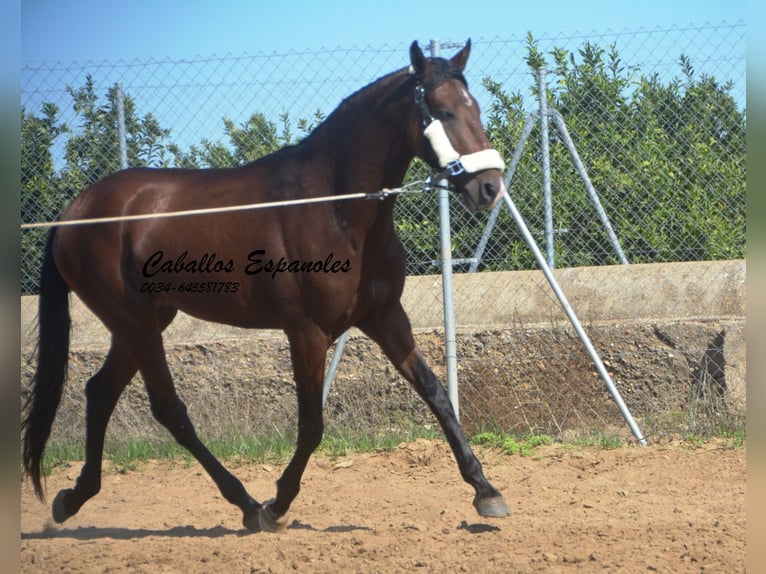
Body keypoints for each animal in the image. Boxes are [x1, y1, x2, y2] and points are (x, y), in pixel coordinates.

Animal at [22, 40, 510, 536]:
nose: (490, 187)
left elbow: (437, 395)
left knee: (100, 392)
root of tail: (73, 213)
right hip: (133, 321)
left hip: (144, 320)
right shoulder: (307, 332)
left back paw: (72, 499)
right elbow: (312, 424)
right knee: (169, 409)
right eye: (444, 112)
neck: (335, 208)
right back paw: (245, 502)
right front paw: (278, 504)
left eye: (475, 108)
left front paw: (486, 491)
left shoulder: (385, 316)